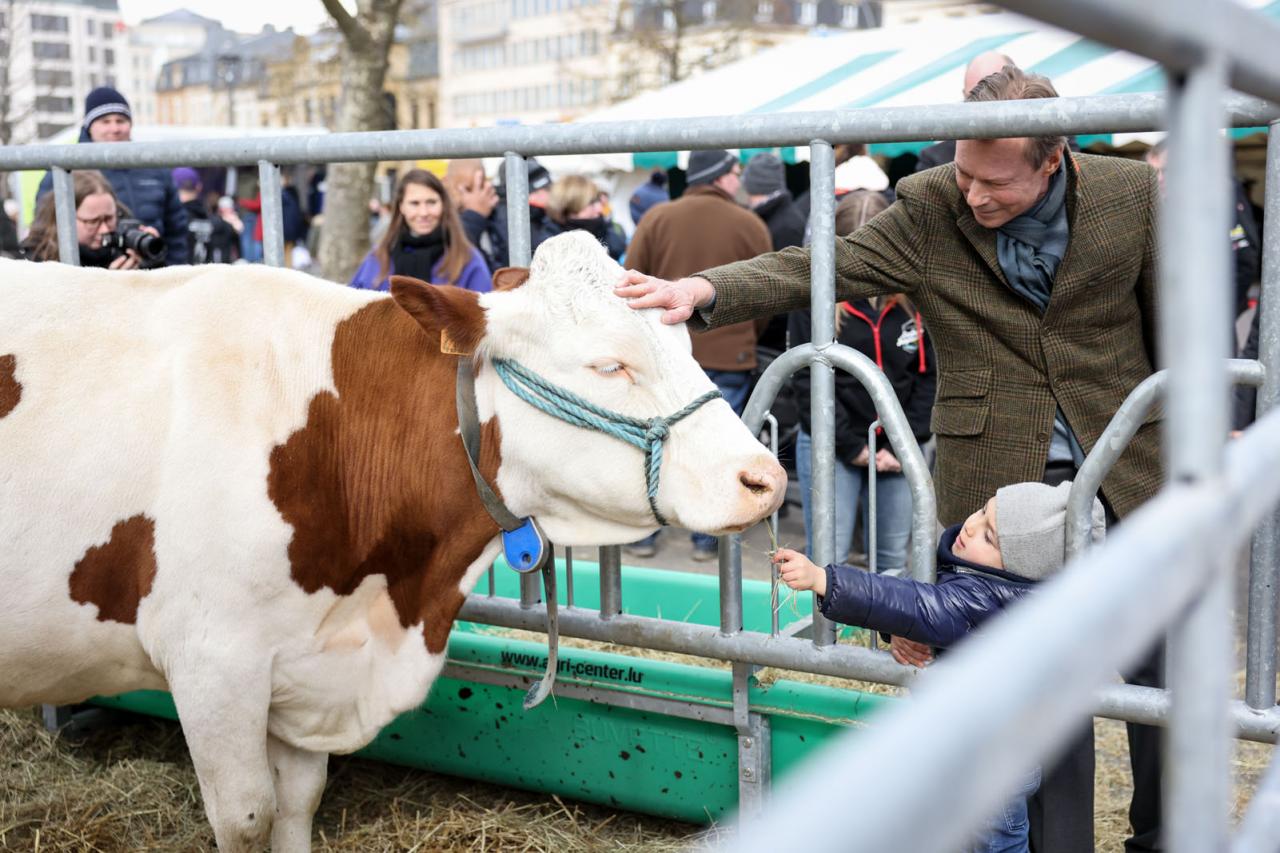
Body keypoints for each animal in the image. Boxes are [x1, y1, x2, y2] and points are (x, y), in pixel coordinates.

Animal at [0, 229, 783, 845]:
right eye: (609, 364)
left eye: (682, 339)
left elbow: (297, 806)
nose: (766, 478)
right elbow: (247, 817)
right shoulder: (211, 661)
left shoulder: (302, 662)